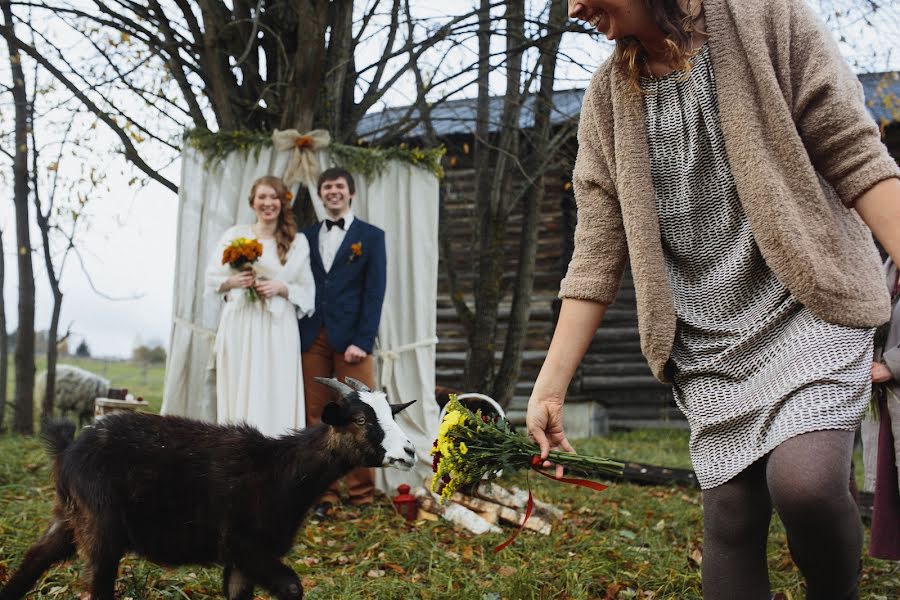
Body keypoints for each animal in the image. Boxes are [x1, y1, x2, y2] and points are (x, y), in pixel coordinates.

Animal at [0, 378, 414, 596]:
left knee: (33, 560)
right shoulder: (247, 547)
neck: (280, 469)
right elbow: (293, 587)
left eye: (391, 414)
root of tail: (68, 448)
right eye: (360, 419)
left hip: (68, 517)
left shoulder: (241, 561)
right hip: (101, 529)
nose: (410, 451)